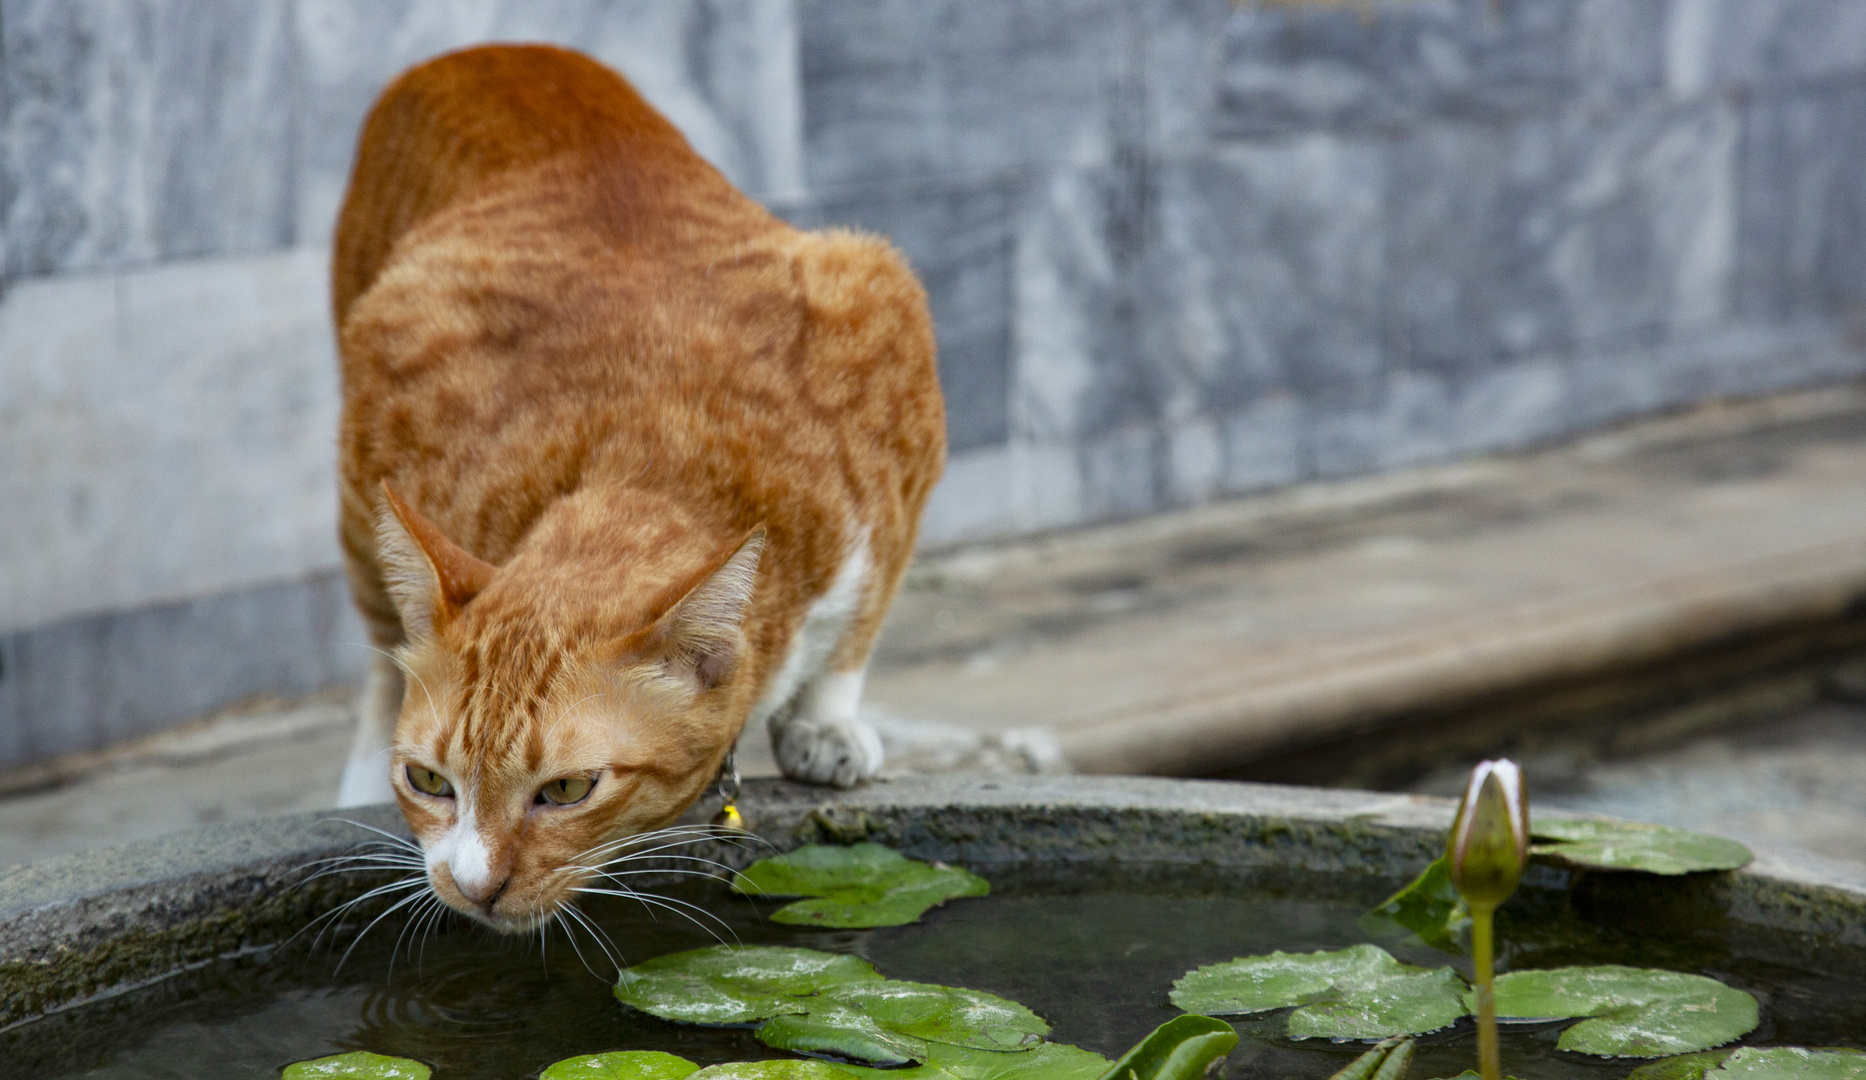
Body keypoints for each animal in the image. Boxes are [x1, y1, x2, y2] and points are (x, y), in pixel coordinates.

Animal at [328, 46, 947, 932]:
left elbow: (856, 630)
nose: (473, 886)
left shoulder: (890, 353)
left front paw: (825, 723)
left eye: (566, 790)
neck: (659, 458)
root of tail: (488, 53)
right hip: (358, 469)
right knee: (383, 646)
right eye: (428, 781)